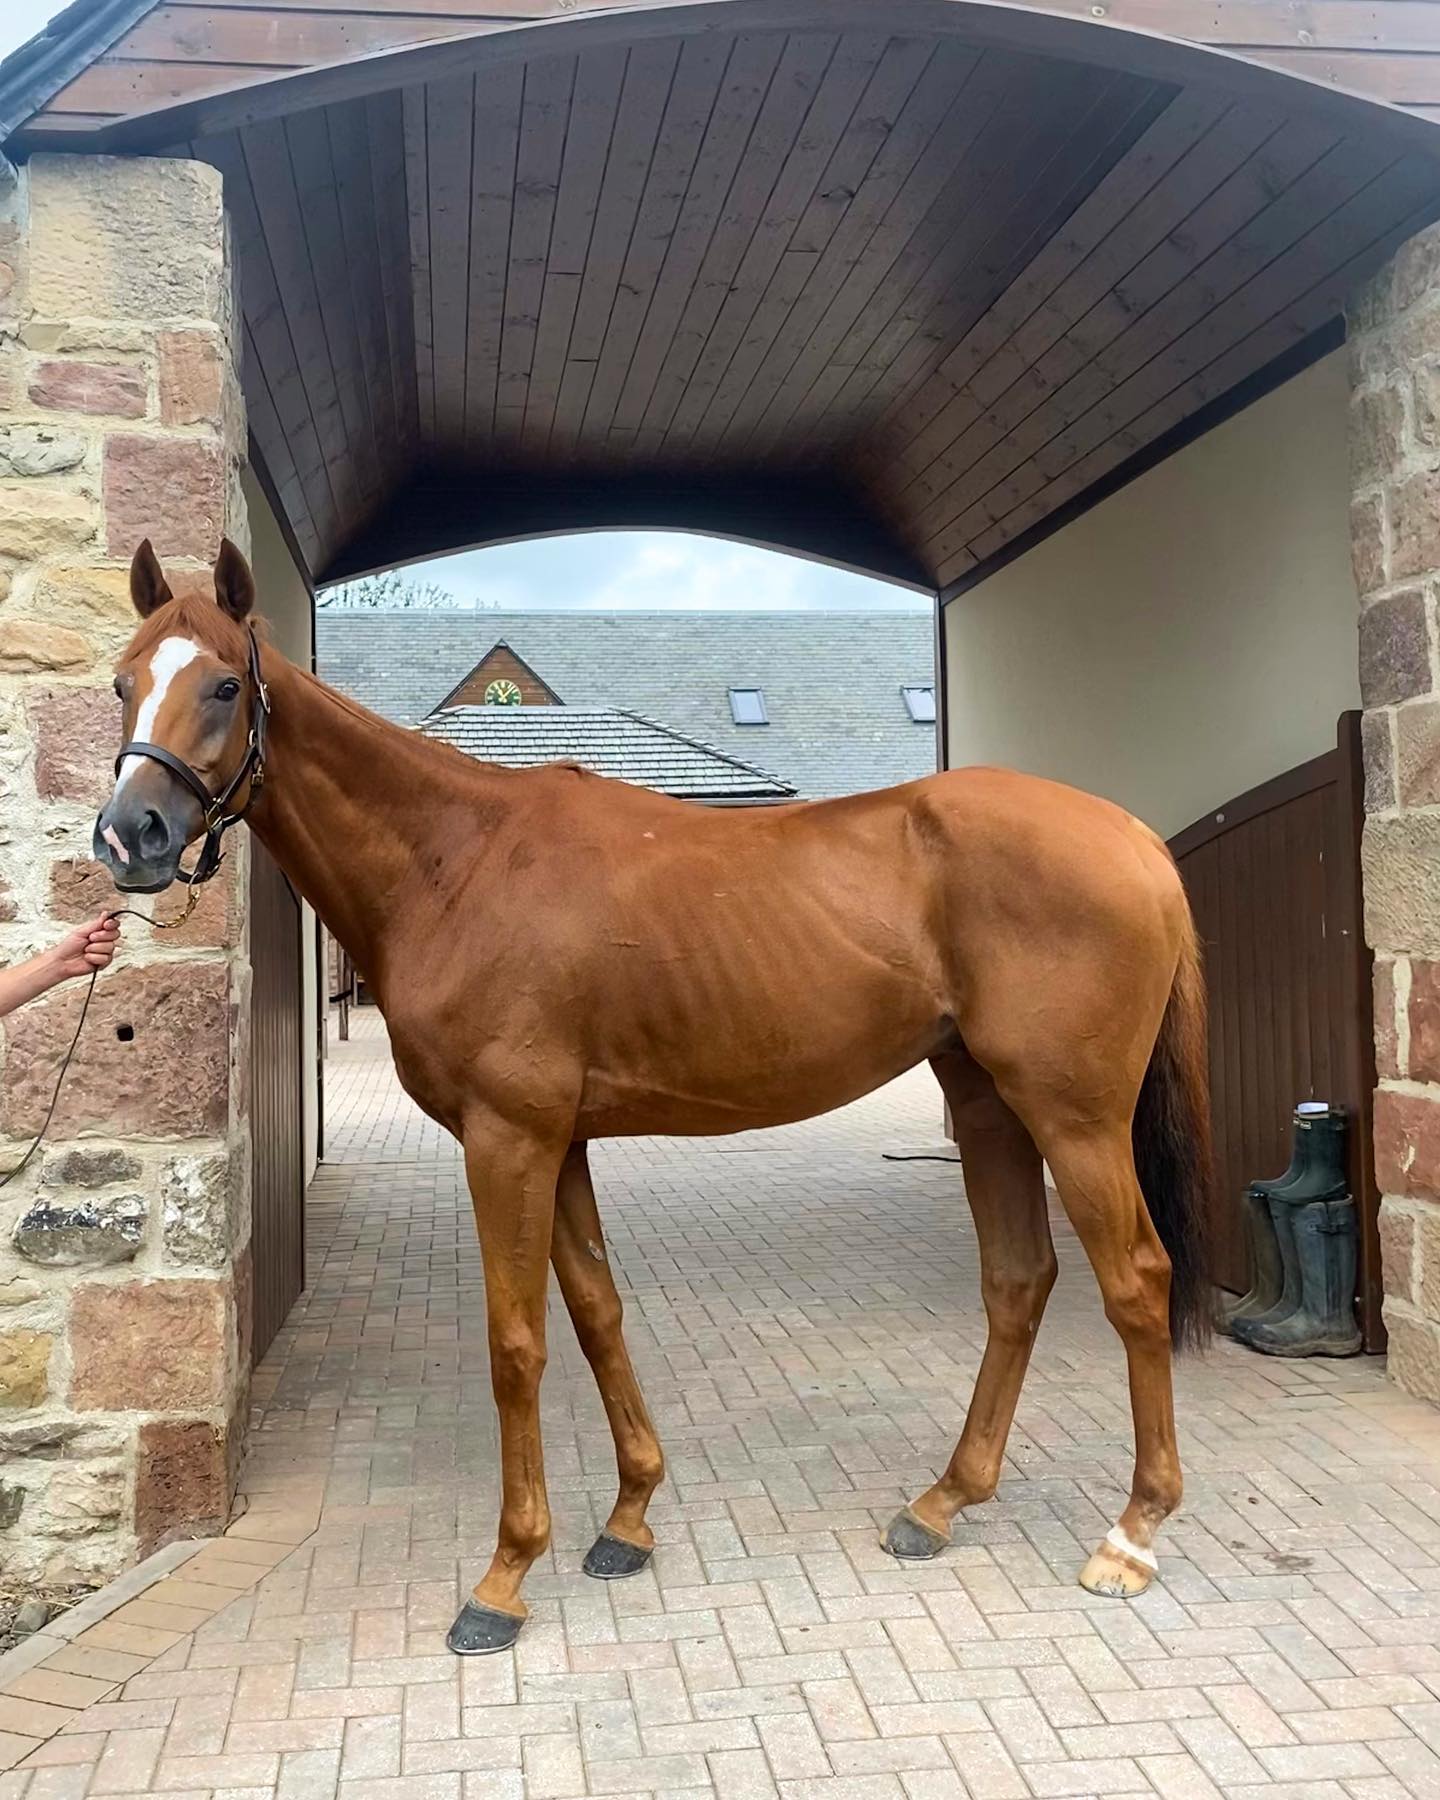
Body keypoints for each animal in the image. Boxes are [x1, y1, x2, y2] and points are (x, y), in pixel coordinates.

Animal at [93, 538, 1213, 1656]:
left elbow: (516, 1344)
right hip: (988, 1104)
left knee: (1137, 1282)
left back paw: (1131, 1535)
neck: (458, 861)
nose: (129, 836)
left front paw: (505, 1576)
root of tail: (1130, 837)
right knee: (1019, 1281)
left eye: (224, 684)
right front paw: (628, 1519)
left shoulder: (508, 1140)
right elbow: (598, 1313)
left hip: (1075, 1119)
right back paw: (942, 1503)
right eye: (122, 682)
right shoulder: (562, 1142)